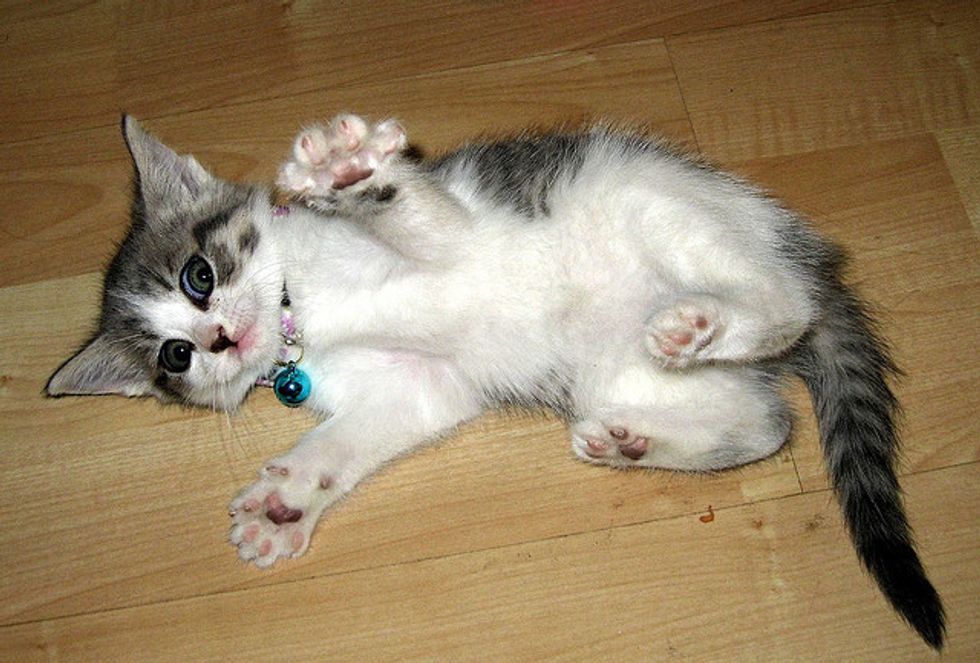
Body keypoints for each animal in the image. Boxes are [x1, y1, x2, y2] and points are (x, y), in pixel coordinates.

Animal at [47, 114, 945, 649]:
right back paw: (635, 438)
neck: (305, 309)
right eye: (174, 357)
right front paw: (287, 498)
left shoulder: (456, 234)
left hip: (658, 205)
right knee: (765, 423)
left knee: (785, 304)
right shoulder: (421, 384)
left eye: (199, 275)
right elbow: (351, 437)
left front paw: (348, 171)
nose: (220, 337)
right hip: (614, 370)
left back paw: (716, 322)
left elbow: (418, 216)